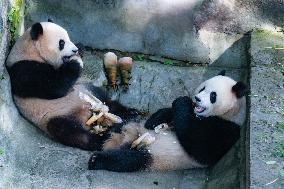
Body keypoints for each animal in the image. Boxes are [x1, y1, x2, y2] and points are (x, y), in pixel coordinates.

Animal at [4, 20, 138, 151]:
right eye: (61, 43)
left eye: (69, 38)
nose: (74, 50)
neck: (31, 51)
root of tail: (87, 116)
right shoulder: (23, 69)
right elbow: (55, 87)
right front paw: (75, 61)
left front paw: (81, 48)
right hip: (53, 115)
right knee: (70, 132)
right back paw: (102, 139)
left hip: (87, 90)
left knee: (106, 99)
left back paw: (130, 113)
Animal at [88, 71, 246, 172]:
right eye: (203, 88)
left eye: (213, 95)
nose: (197, 99)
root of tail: (128, 139)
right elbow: (169, 113)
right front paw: (153, 120)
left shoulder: (227, 130)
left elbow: (200, 146)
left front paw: (182, 102)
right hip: (134, 126)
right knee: (119, 128)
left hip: (154, 155)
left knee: (128, 160)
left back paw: (97, 159)